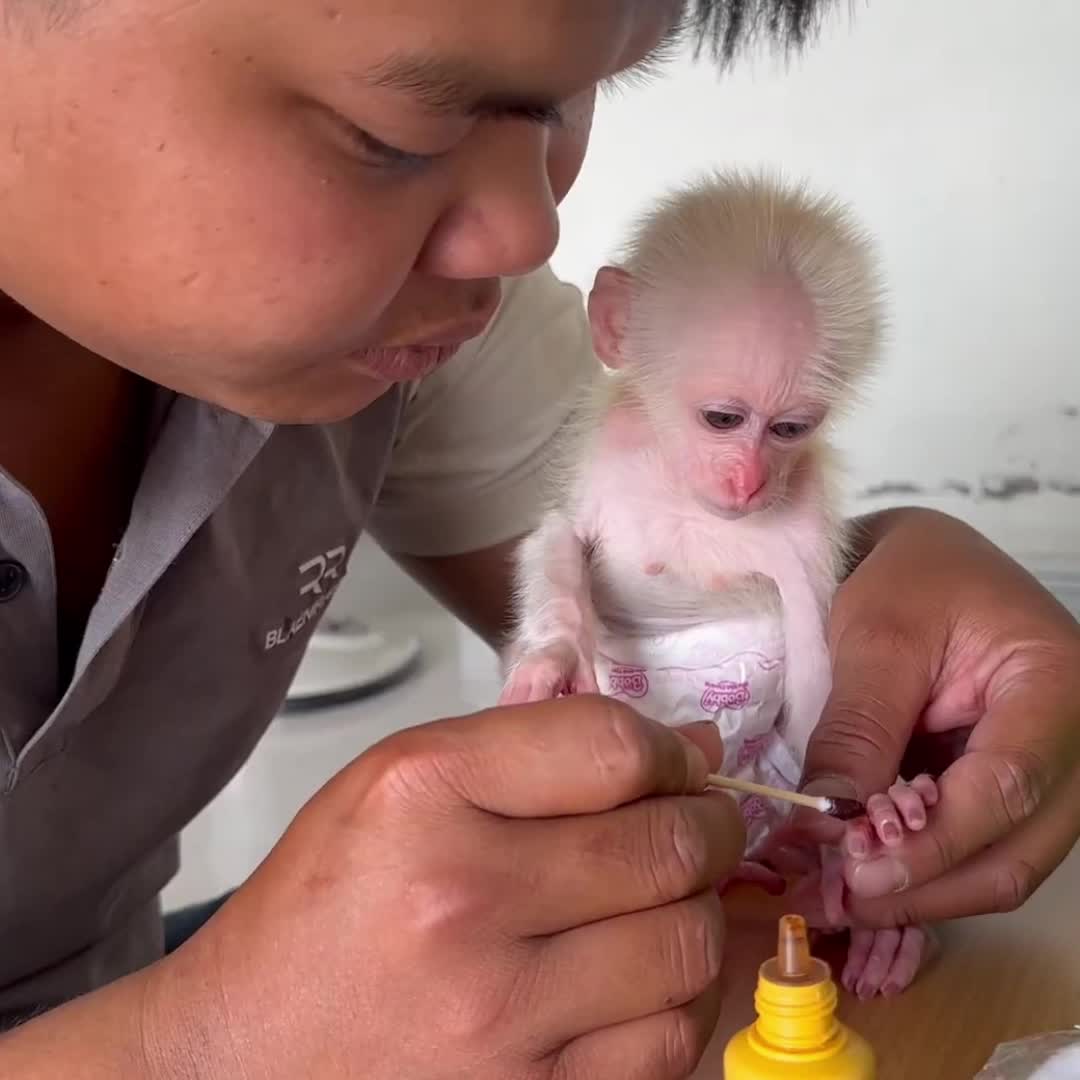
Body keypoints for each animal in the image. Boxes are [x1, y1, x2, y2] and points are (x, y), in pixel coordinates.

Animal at [499, 168, 937, 999]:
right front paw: (551, 658)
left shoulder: (802, 519)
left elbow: (816, 654)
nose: (748, 480)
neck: (685, 493)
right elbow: (558, 540)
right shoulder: (608, 455)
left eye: (789, 429)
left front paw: (854, 840)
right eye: (723, 419)